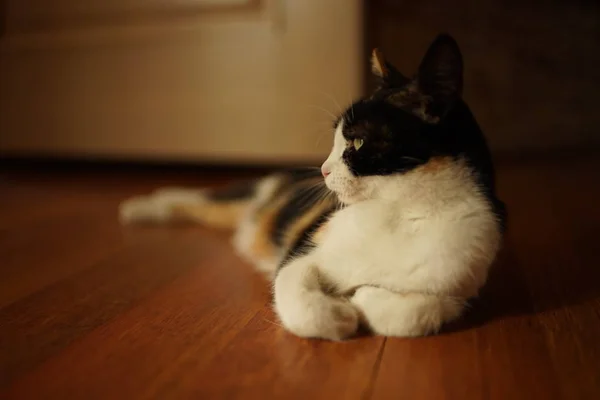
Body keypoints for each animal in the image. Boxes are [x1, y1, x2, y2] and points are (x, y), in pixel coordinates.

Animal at [120, 35, 506, 340]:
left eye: (358, 142)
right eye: (337, 140)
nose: (323, 170)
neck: (400, 211)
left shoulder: (460, 282)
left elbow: (413, 314)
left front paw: (363, 296)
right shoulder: (306, 248)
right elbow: (294, 289)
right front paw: (339, 314)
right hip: (249, 196)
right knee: (198, 198)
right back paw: (141, 207)